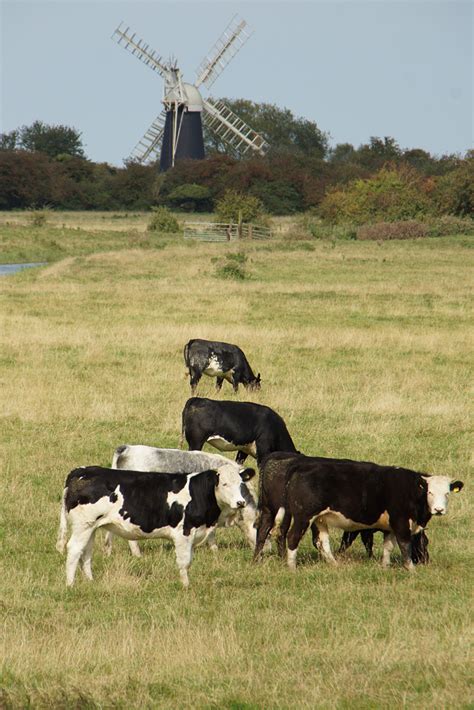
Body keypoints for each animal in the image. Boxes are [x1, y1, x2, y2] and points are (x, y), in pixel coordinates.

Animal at [61, 462, 258, 588]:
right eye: (224, 484)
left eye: (241, 483)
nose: (241, 503)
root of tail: (81, 471)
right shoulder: (184, 532)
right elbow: (184, 562)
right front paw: (186, 587)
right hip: (83, 525)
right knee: (74, 550)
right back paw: (70, 585)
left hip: (90, 527)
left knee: (85, 553)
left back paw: (90, 581)